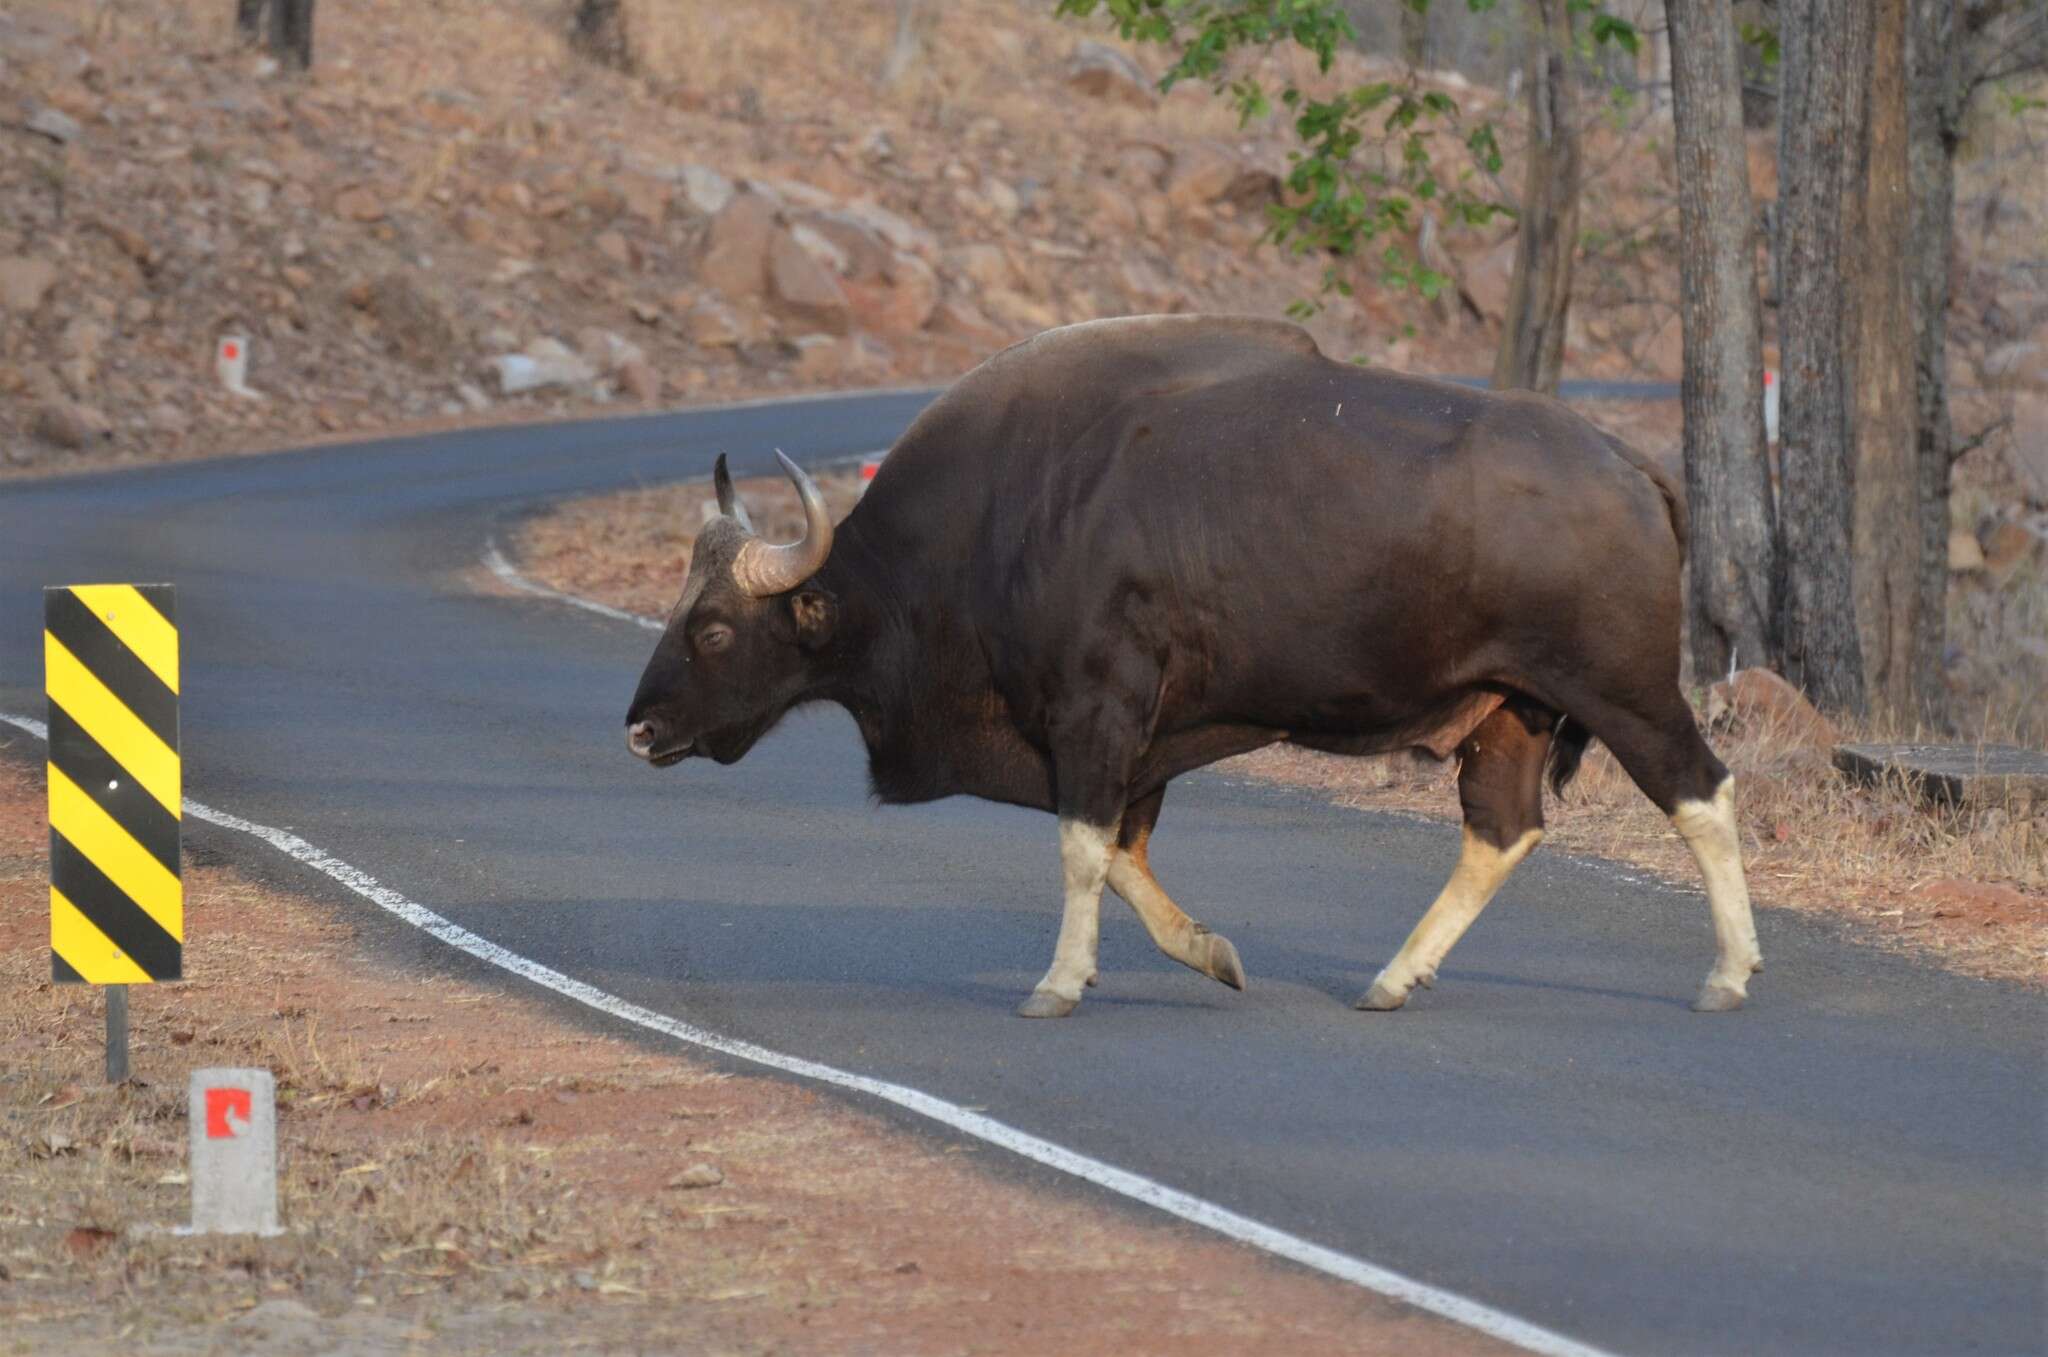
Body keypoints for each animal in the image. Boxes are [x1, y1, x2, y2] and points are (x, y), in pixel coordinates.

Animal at [622, 319, 1761, 1019]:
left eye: (713, 628)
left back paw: (1728, 972)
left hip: (1622, 692)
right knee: (1503, 827)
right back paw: (1394, 976)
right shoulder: (1138, 744)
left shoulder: (1096, 716)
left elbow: (1083, 850)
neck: (999, 517)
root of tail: (1629, 465)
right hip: (1508, 712)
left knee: (1702, 792)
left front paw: (1057, 982)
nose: (639, 727)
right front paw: (1210, 951)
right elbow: (1122, 855)